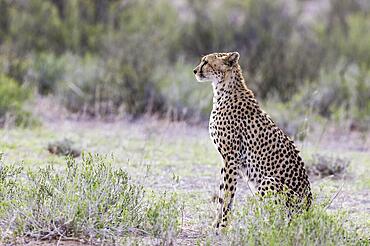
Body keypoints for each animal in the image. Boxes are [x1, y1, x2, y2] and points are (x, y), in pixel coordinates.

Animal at [194, 51, 312, 229]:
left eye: (206, 62)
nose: (194, 71)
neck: (223, 89)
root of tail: (308, 212)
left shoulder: (231, 158)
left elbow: (228, 195)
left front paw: (223, 227)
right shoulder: (226, 159)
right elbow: (222, 195)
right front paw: (215, 225)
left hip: (267, 182)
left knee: (278, 221)